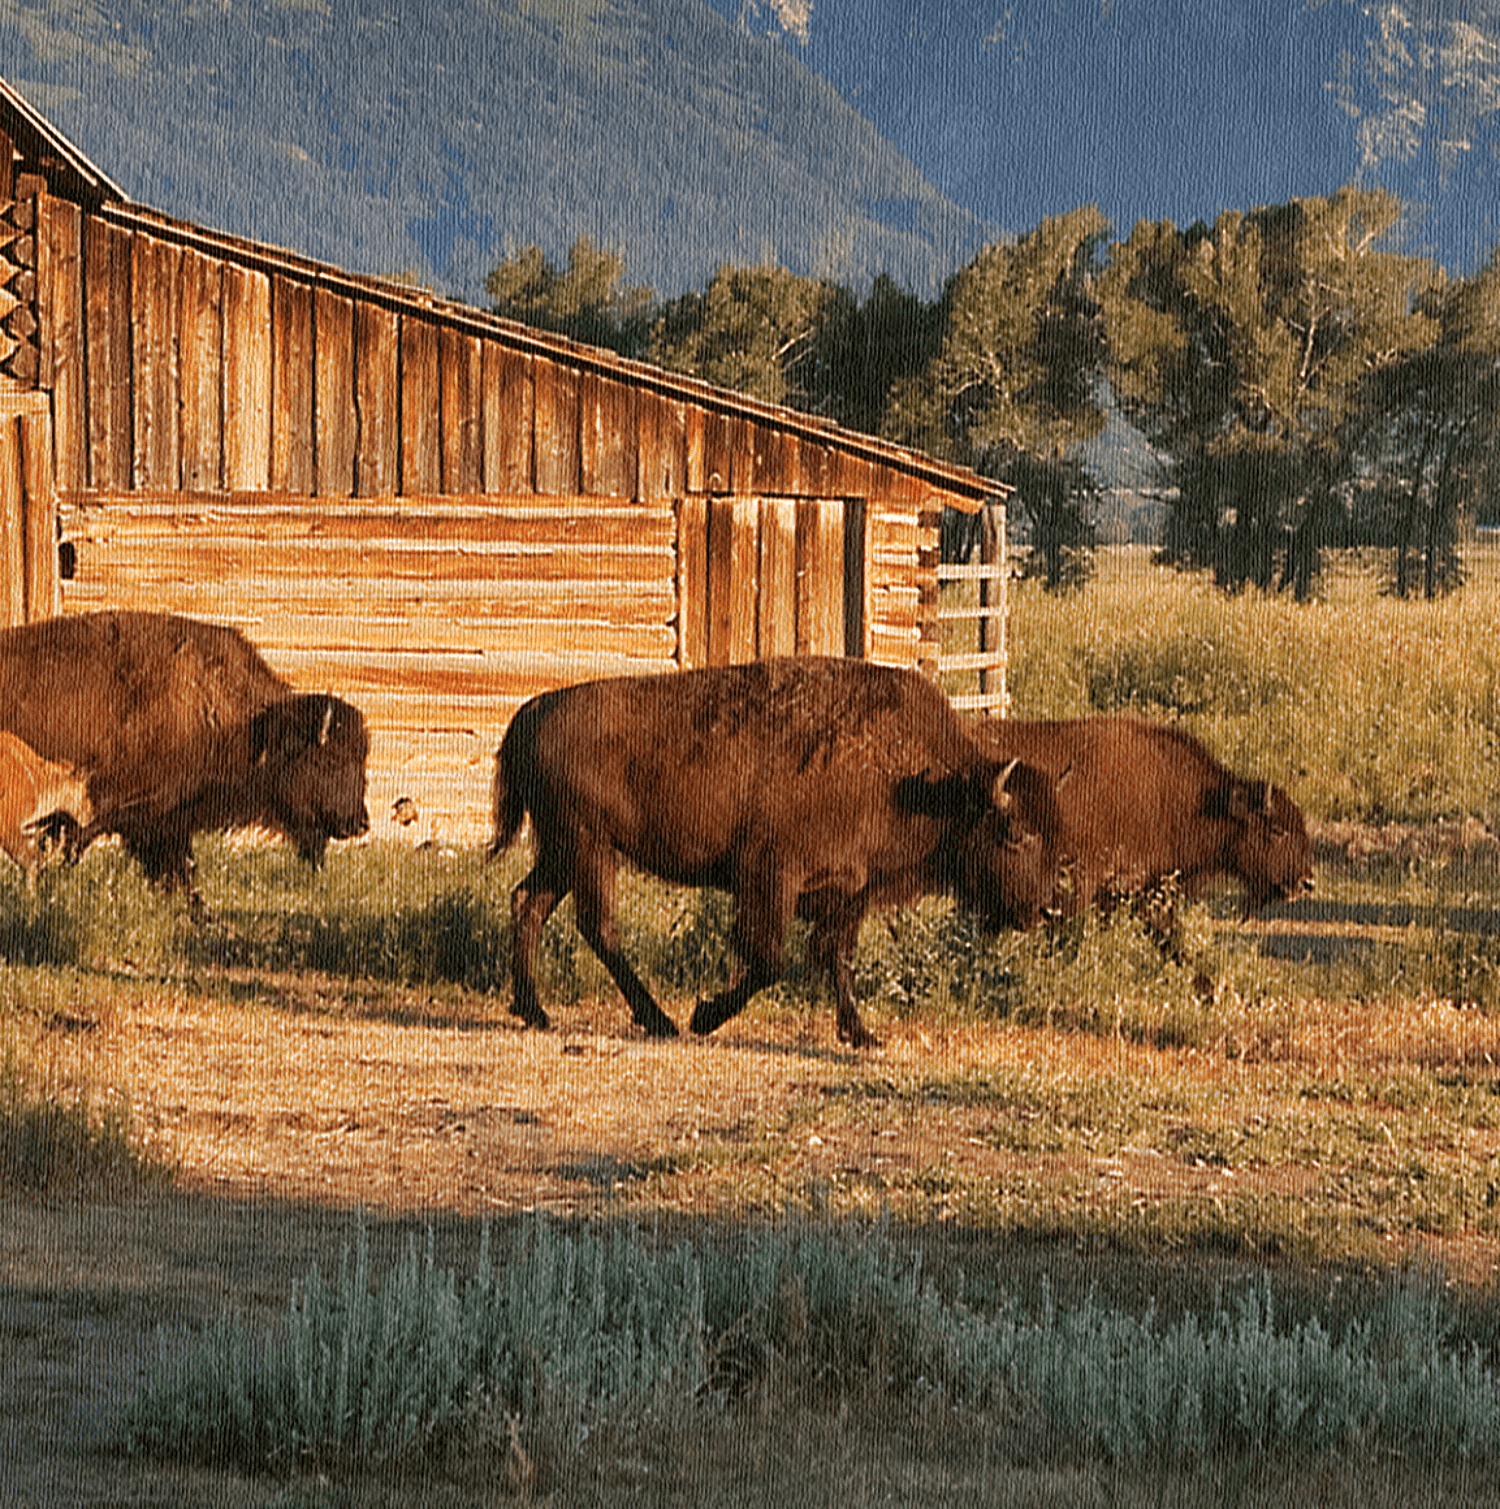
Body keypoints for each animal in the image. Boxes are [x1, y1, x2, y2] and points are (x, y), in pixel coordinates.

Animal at [485, 660, 1056, 1050]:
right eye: (1015, 834)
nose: (1044, 909)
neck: (916, 780)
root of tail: (532, 711)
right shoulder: (771, 875)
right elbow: (768, 960)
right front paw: (704, 1016)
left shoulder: (848, 891)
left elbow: (835, 957)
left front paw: (860, 1034)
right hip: (589, 848)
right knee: (597, 925)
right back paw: (660, 1020)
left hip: (563, 852)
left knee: (528, 903)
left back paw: (535, 1011)